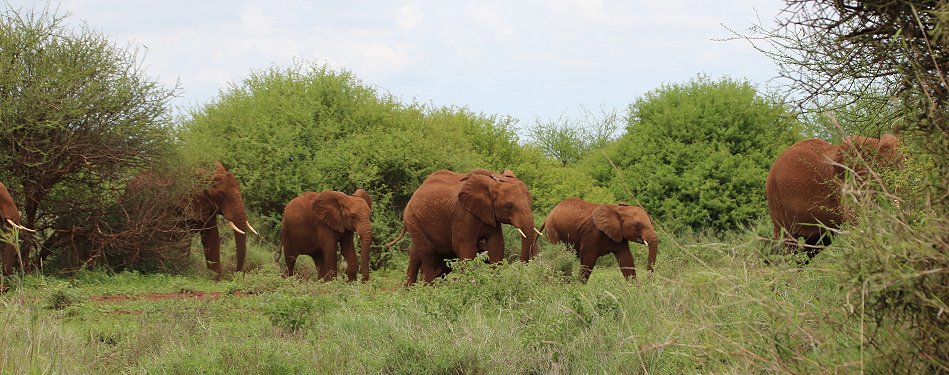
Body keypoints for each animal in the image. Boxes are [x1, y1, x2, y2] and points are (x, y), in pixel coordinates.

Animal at [129, 162, 260, 276]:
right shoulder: (179, 206)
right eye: (219, 195)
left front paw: (215, 279)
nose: (235, 273)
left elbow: (212, 237)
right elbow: (182, 240)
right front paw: (183, 272)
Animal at [394, 169, 540, 286]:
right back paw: (429, 289)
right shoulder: (463, 215)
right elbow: (465, 248)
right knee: (427, 253)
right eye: (509, 206)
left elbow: (496, 245)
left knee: (416, 254)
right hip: (412, 220)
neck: (492, 183)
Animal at [764, 134, 904, 258]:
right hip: (775, 197)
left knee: (814, 244)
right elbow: (857, 220)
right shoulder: (843, 183)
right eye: (884, 169)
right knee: (787, 242)